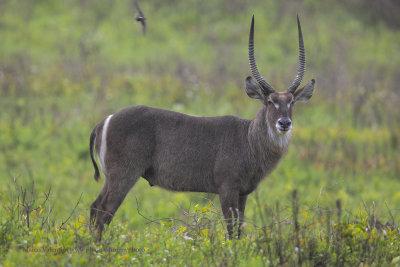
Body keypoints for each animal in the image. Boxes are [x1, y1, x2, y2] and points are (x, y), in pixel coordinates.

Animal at [90, 15, 316, 240]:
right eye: (270, 101)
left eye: (292, 102)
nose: (284, 123)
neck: (249, 139)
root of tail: (105, 120)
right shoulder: (227, 188)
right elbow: (231, 230)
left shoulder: (243, 192)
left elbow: (239, 229)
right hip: (123, 174)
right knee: (104, 211)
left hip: (112, 177)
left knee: (95, 208)